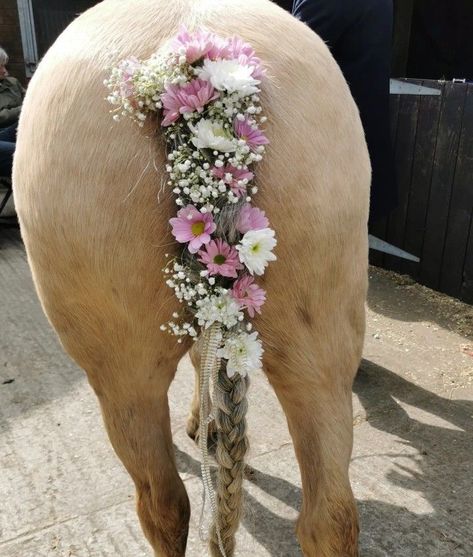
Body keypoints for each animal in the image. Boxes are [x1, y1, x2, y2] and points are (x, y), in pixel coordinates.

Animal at [12, 2, 370, 552]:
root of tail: (193, 53)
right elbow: (208, 359)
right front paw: (207, 425)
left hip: (121, 372)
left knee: (164, 504)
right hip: (323, 344)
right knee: (330, 516)